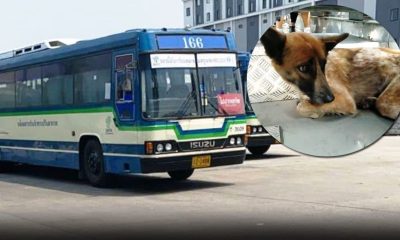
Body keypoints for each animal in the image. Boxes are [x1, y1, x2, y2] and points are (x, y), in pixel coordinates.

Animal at [260, 27, 400, 120]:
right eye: (303, 68)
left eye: (324, 63)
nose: (330, 98)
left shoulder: (344, 99)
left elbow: (301, 107)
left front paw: (314, 112)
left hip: (387, 100)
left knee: (383, 104)